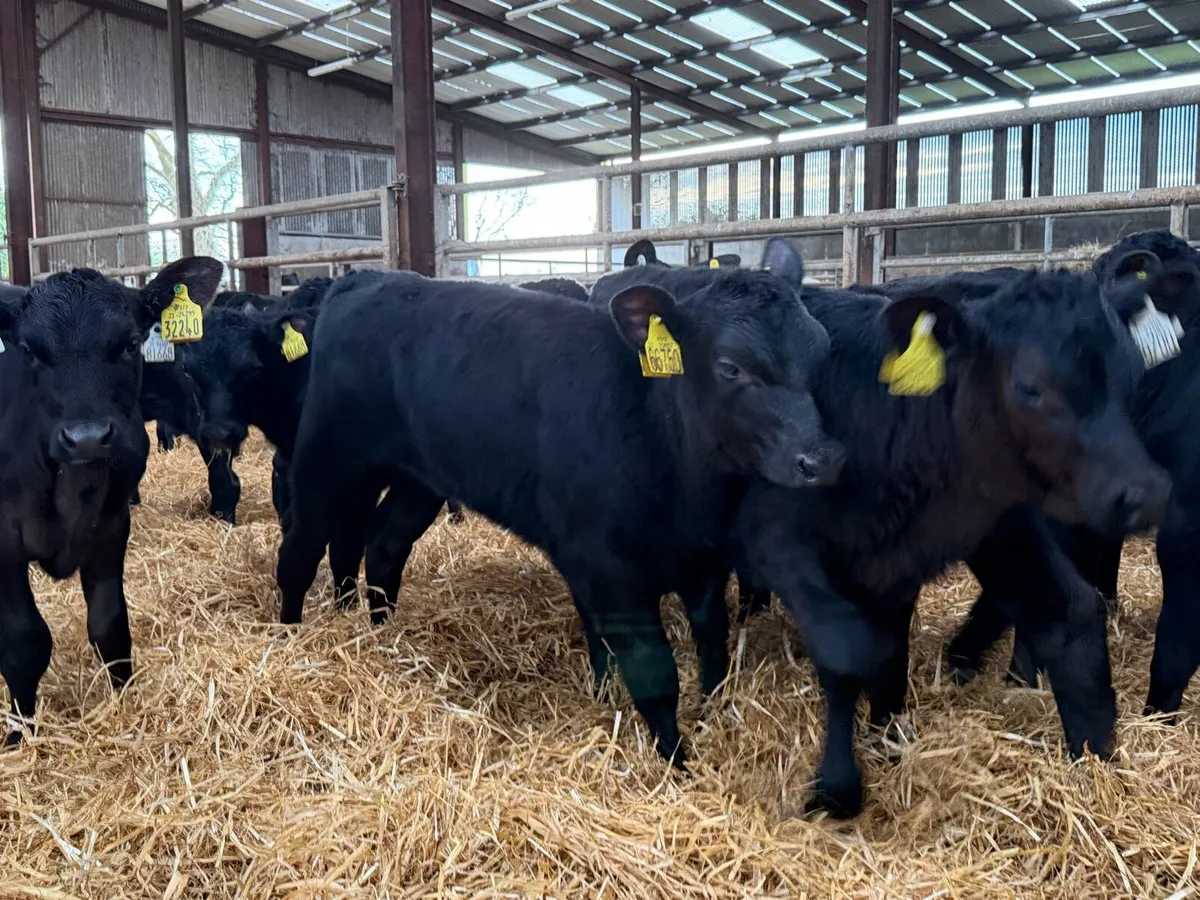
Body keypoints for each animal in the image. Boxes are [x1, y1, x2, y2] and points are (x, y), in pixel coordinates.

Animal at [0, 257, 222, 745]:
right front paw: (19, 734)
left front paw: (126, 702)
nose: (86, 437)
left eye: (131, 343)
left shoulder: (111, 524)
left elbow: (109, 627)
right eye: (28, 350)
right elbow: (24, 642)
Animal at [274, 239, 843, 764]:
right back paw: (288, 634)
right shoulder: (611, 572)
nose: (821, 459)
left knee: (382, 545)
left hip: (418, 481)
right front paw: (676, 762)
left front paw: (707, 715)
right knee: (300, 549)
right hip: (327, 459)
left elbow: (713, 651)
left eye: (820, 351)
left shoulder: (703, 562)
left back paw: (380, 633)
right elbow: (654, 671)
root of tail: (366, 278)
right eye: (729, 367)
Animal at [724, 259, 1172, 818]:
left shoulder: (953, 543)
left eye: (1132, 374)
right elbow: (846, 653)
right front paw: (836, 787)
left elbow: (1069, 615)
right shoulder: (780, 542)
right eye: (1029, 386)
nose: (1146, 493)